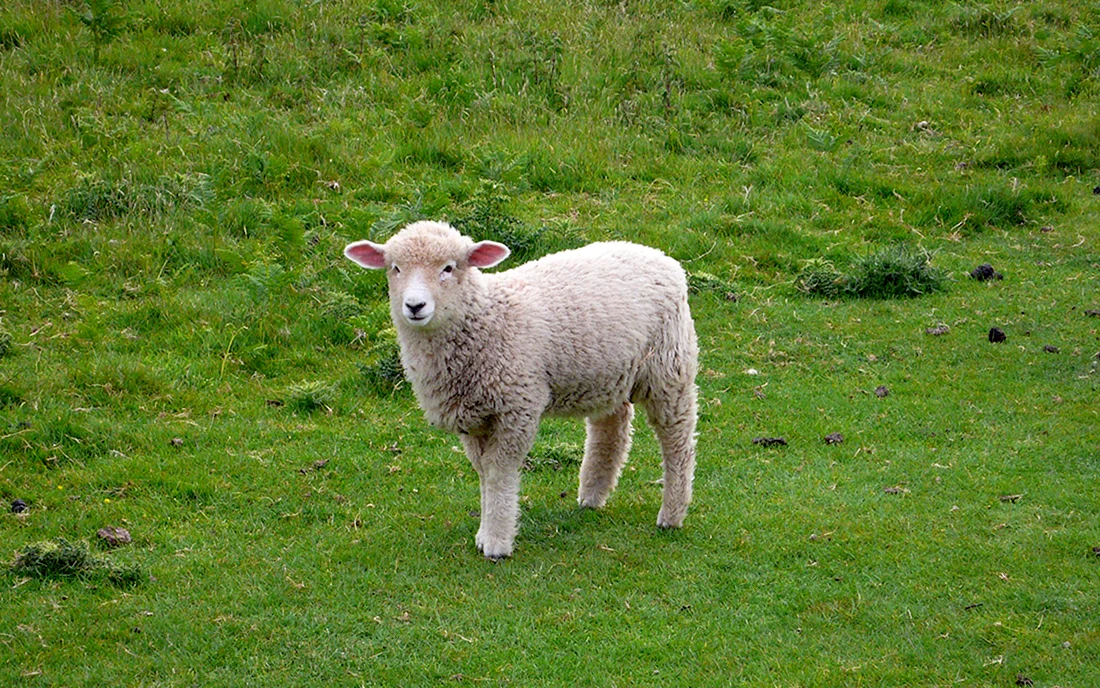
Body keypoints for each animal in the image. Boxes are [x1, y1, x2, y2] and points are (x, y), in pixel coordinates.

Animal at [345, 220, 698, 560]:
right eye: (395, 268)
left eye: (449, 268)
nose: (415, 306)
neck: (487, 318)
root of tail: (657, 255)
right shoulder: (473, 418)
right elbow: (483, 472)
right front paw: (484, 532)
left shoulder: (517, 406)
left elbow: (499, 472)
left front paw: (497, 542)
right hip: (608, 372)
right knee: (612, 428)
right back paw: (592, 495)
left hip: (669, 367)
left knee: (677, 441)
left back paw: (672, 514)